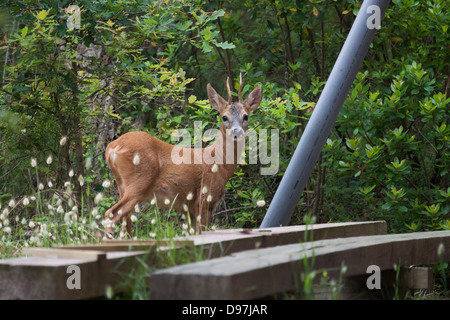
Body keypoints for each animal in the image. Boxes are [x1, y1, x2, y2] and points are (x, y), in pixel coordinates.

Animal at [103, 75, 262, 238]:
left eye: (246, 116)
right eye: (224, 117)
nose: (236, 132)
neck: (219, 162)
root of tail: (111, 147)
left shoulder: (188, 208)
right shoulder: (204, 199)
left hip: (123, 186)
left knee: (124, 223)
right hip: (138, 182)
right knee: (110, 214)